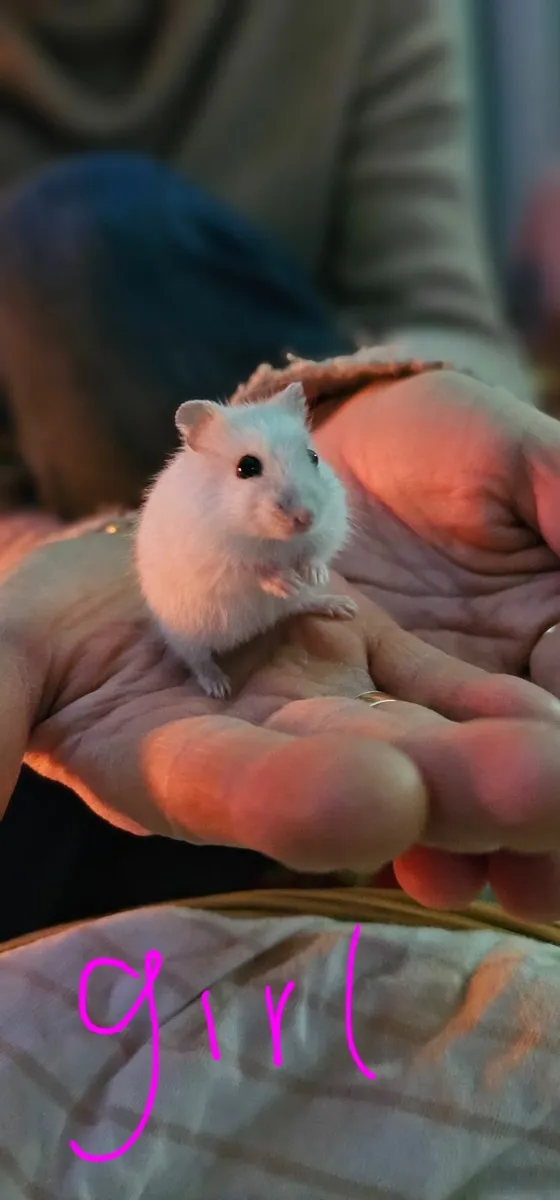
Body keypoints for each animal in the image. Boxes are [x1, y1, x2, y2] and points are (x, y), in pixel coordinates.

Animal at [134, 382, 357, 698]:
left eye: (313, 457)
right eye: (247, 467)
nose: (306, 518)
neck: (272, 539)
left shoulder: (329, 526)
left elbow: (315, 552)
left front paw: (314, 575)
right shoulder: (220, 560)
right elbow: (254, 570)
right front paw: (287, 581)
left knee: (300, 604)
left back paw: (340, 605)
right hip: (185, 634)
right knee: (197, 660)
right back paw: (218, 686)